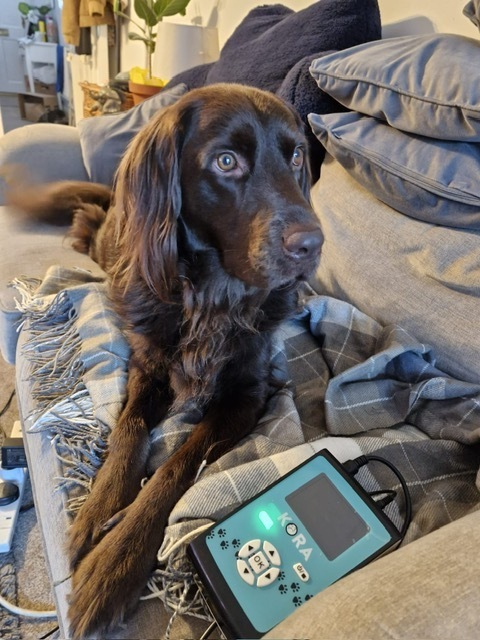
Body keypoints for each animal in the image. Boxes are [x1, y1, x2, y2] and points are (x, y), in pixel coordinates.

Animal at [8, 83, 323, 638]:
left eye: (297, 156)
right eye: (226, 161)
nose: (312, 244)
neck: (212, 296)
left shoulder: (246, 394)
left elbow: (177, 466)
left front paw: (115, 561)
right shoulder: (148, 366)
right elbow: (130, 429)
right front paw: (96, 513)